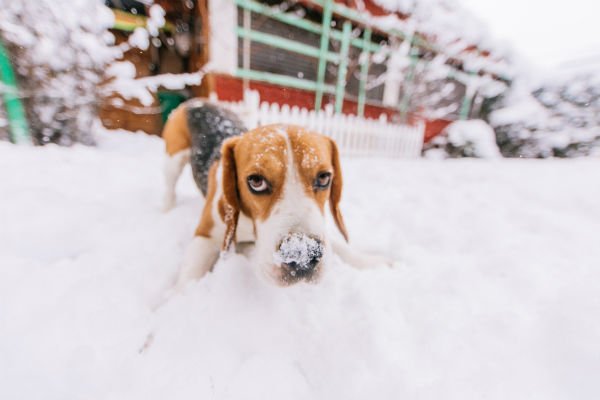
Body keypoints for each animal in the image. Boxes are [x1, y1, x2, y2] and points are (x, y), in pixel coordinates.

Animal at [162, 100, 392, 288]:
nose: (302, 254)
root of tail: (196, 101)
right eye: (256, 181)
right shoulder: (205, 235)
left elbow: (341, 247)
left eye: (324, 178)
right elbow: (188, 278)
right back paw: (167, 208)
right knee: (169, 186)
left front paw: (371, 262)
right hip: (173, 160)